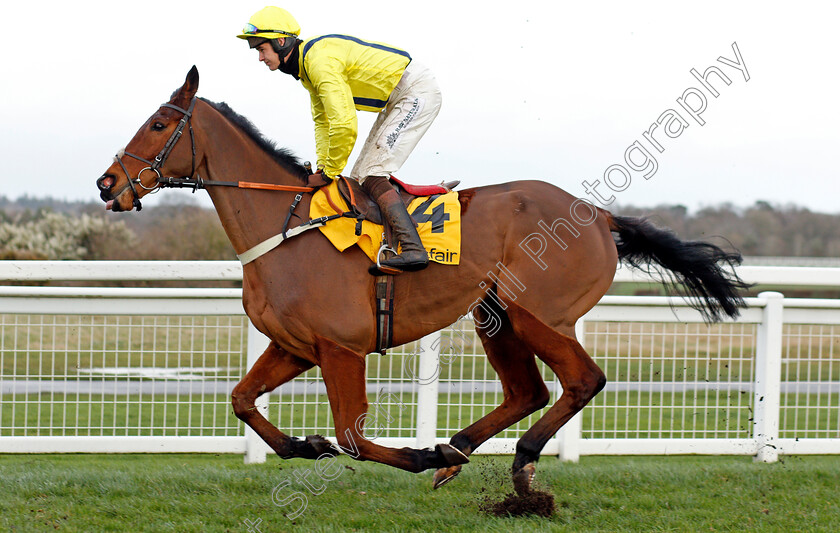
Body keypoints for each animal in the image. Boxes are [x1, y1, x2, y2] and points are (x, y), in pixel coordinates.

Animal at [95, 67, 744, 494]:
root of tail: (600, 214)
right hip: (493, 315)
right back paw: (455, 450)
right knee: (528, 392)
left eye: (159, 124)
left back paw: (516, 459)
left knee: (582, 379)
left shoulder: (341, 348)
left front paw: (410, 456)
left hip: (536, 311)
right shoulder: (295, 346)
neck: (289, 228)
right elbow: (241, 400)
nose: (108, 184)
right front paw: (304, 445)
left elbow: (353, 437)